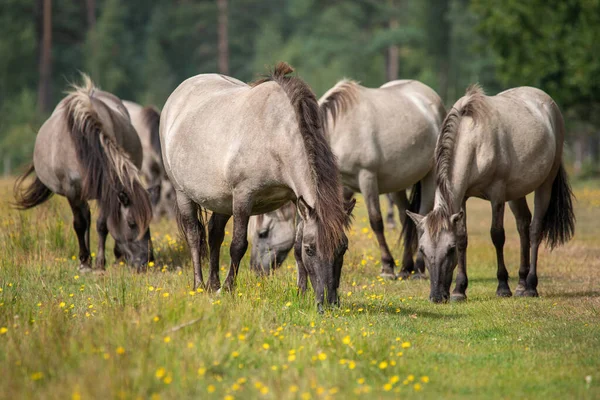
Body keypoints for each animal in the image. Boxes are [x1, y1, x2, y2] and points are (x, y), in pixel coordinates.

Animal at [13, 74, 154, 272]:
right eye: (132, 223)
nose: (146, 262)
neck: (81, 144)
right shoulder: (72, 191)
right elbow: (80, 223)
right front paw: (85, 262)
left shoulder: (104, 191)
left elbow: (102, 224)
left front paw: (101, 262)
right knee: (85, 217)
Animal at [162, 62, 354, 310]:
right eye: (311, 249)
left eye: (342, 248)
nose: (330, 303)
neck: (275, 135)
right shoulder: (244, 196)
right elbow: (238, 245)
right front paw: (229, 288)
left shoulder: (296, 198)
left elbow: (295, 245)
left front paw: (301, 292)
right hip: (183, 193)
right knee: (194, 236)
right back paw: (199, 285)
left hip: (222, 200)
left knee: (214, 234)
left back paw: (213, 284)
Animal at [318, 79, 446, 280]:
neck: (338, 129)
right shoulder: (343, 185)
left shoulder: (367, 177)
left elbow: (376, 221)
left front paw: (387, 266)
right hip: (399, 182)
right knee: (406, 216)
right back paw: (406, 267)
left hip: (430, 175)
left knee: (423, 215)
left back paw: (418, 268)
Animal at [406, 85, 576, 304]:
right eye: (422, 250)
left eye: (449, 249)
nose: (436, 297)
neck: (474, 140)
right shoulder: (463, 198)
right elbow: (463, 237)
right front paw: (459, 290)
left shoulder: (497, 195)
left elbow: (497, 235)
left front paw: (502, 287)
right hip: (516, 192)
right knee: (523, 225)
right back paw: (521, 284)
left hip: (545, 184)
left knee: (535, 229)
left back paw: (530, 286)